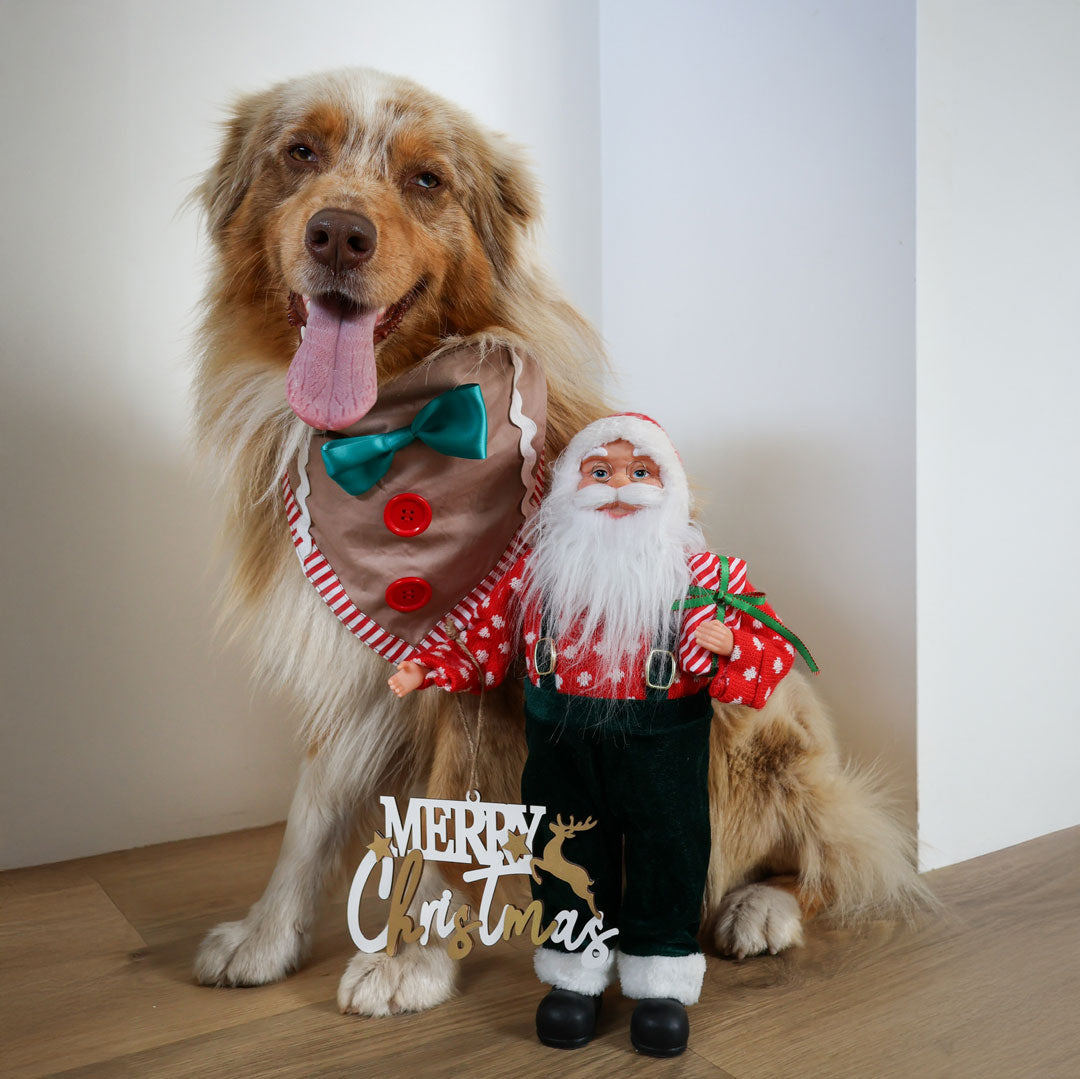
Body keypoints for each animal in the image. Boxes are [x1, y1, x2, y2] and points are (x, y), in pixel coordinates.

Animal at [187, 65, 928, 1010]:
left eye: (427, 179)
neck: (391, 429)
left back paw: (756, 908)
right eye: (301, 152)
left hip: (752, 719)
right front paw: (267, 933)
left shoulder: (488, 671)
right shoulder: (366, 662)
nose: (340, 234)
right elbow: (311, 810)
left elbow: (449, 810)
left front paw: (410, 956)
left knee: (826, 848)